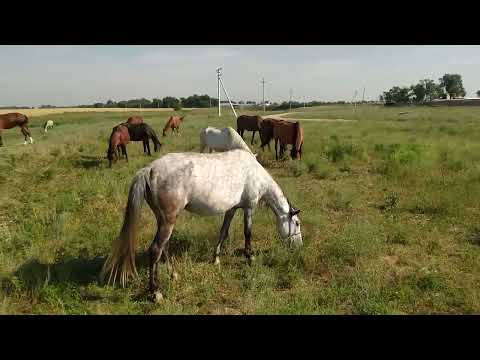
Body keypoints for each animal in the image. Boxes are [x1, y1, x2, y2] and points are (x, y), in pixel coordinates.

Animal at [100, 149, 304, 298]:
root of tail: (149, 170)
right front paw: (250, 258)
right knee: (156, 249)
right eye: (297, 223)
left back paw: (174, 275)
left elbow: (223, 232)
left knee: (164, 247)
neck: (254, 172)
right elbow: (248, 233)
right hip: (168, 221)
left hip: (163, 220)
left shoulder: (231, 209)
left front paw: (216, 259)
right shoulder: (250, 207)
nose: (298, 246)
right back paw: (155, 292)